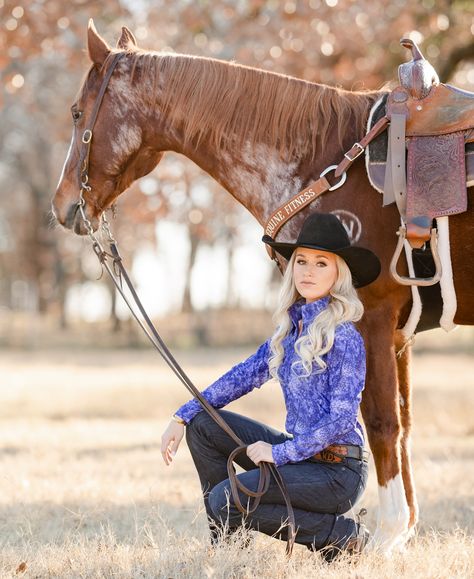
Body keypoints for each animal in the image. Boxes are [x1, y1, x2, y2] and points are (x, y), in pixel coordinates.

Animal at [52, 20, 474, 552]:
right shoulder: (398, 335)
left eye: (77, 112)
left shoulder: (373, 320)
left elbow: (381, 422)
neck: (333, 163)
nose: (62, 206)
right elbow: (404, 423)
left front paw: (387, 537)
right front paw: (402, 534)